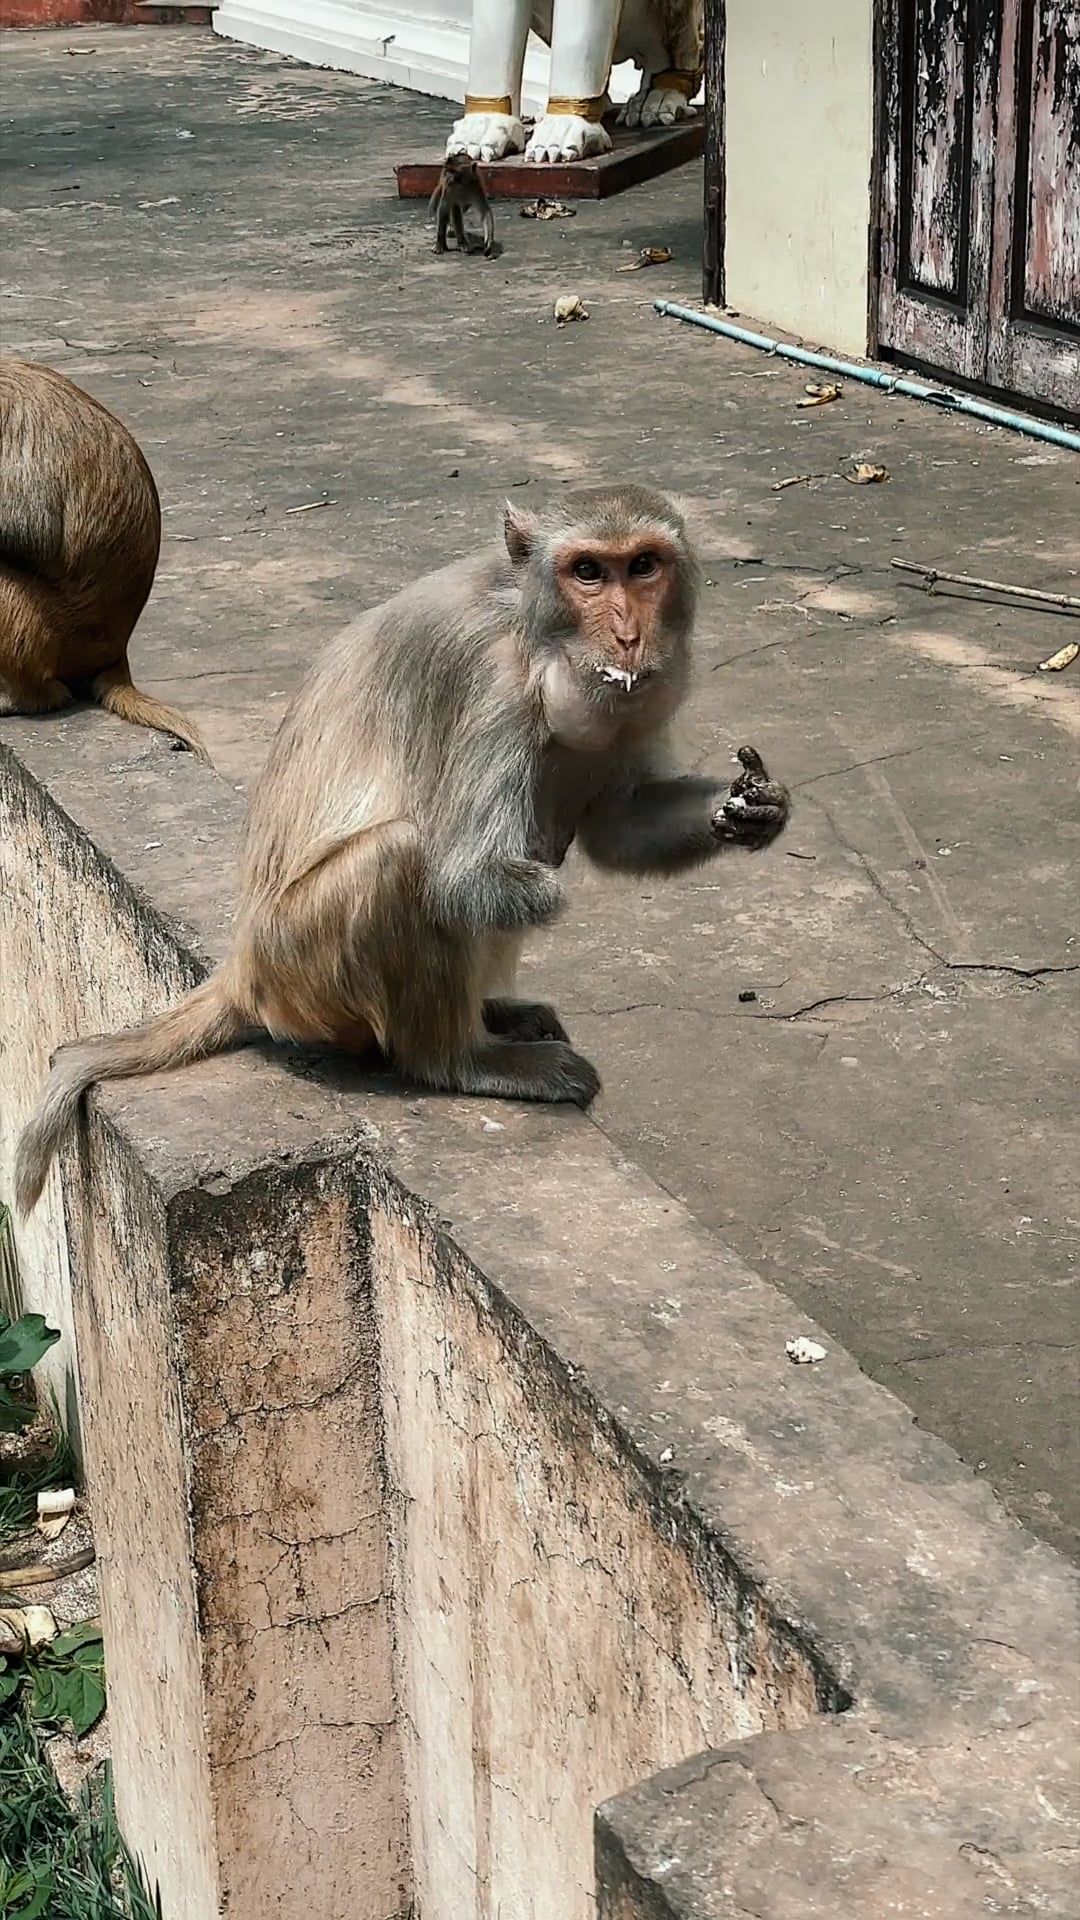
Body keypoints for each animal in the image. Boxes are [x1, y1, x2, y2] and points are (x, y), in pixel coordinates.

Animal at [15, 484, 790, 1215]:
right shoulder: (493, 688)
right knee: (399, 859)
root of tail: (240, 973)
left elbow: (617, 825)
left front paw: (752, 807)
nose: (628, 635)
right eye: (589, 572)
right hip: (298, 972)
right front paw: (536, 879)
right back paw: (458, 1059)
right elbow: (463, 878)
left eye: (644, 566)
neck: (532, 627)